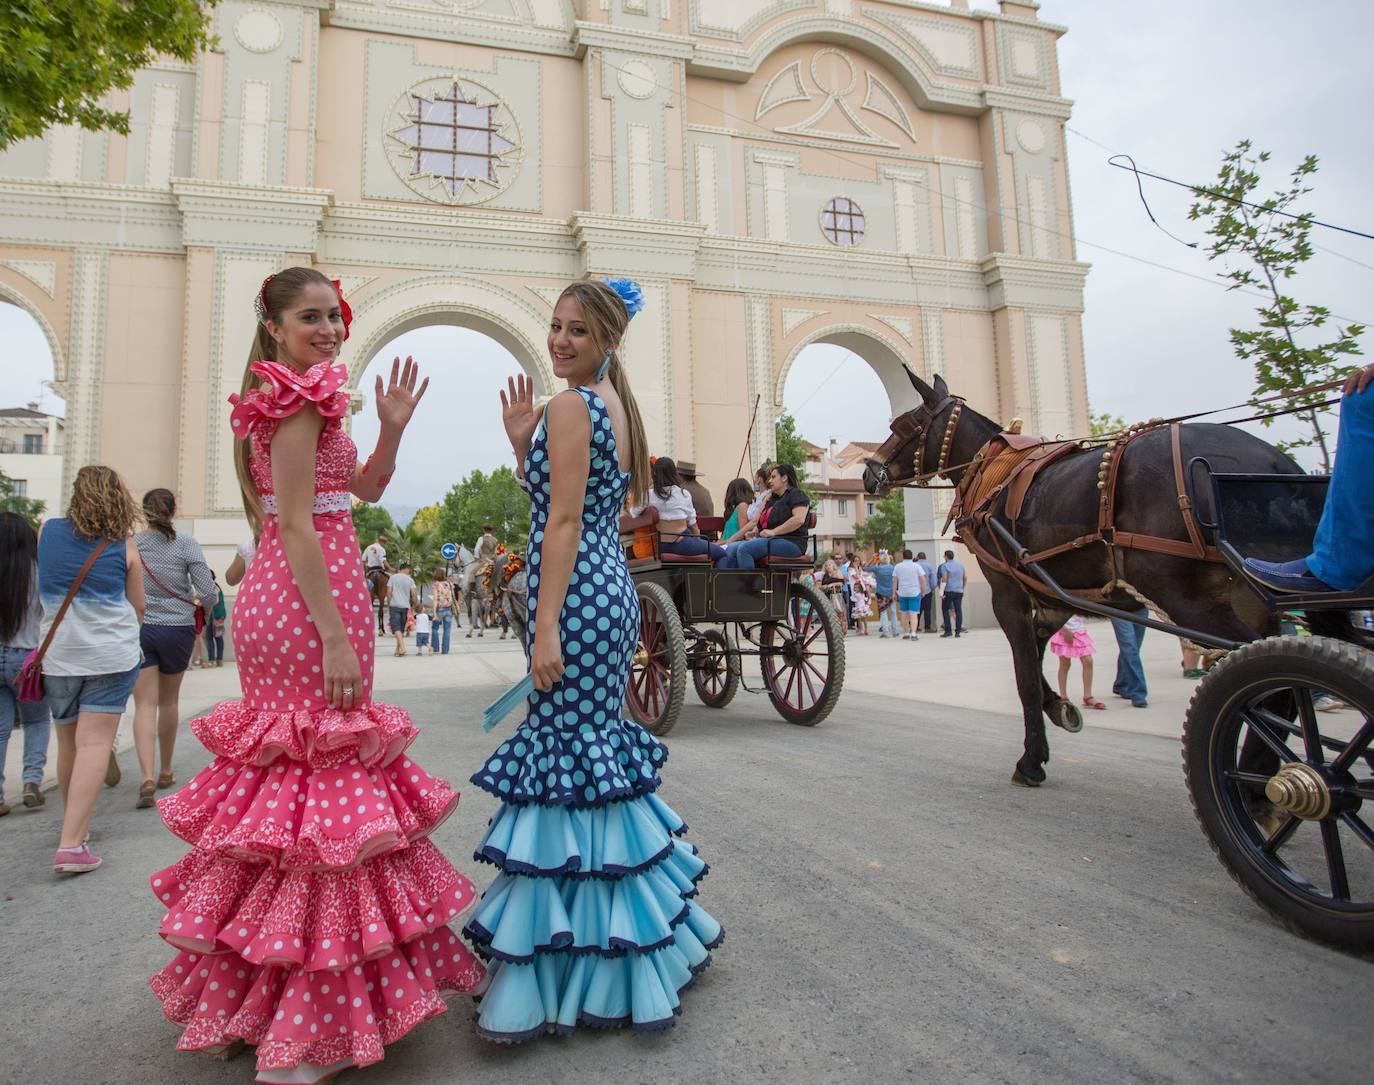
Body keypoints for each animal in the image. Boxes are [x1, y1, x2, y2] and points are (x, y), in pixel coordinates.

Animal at [868, 373, 1297, 791]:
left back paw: (1259, 784)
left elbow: (1025, 677)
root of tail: (1277, 463)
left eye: (901, 425)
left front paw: (1031, 760)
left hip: (1188, 597)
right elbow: (1038, 661)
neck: (992, 474)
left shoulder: (1008, 592)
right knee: (1279, 686)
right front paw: (1060, 707)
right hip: (1251, 599)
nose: (870, 471)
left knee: (1269, 681)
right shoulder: (1054, 596)